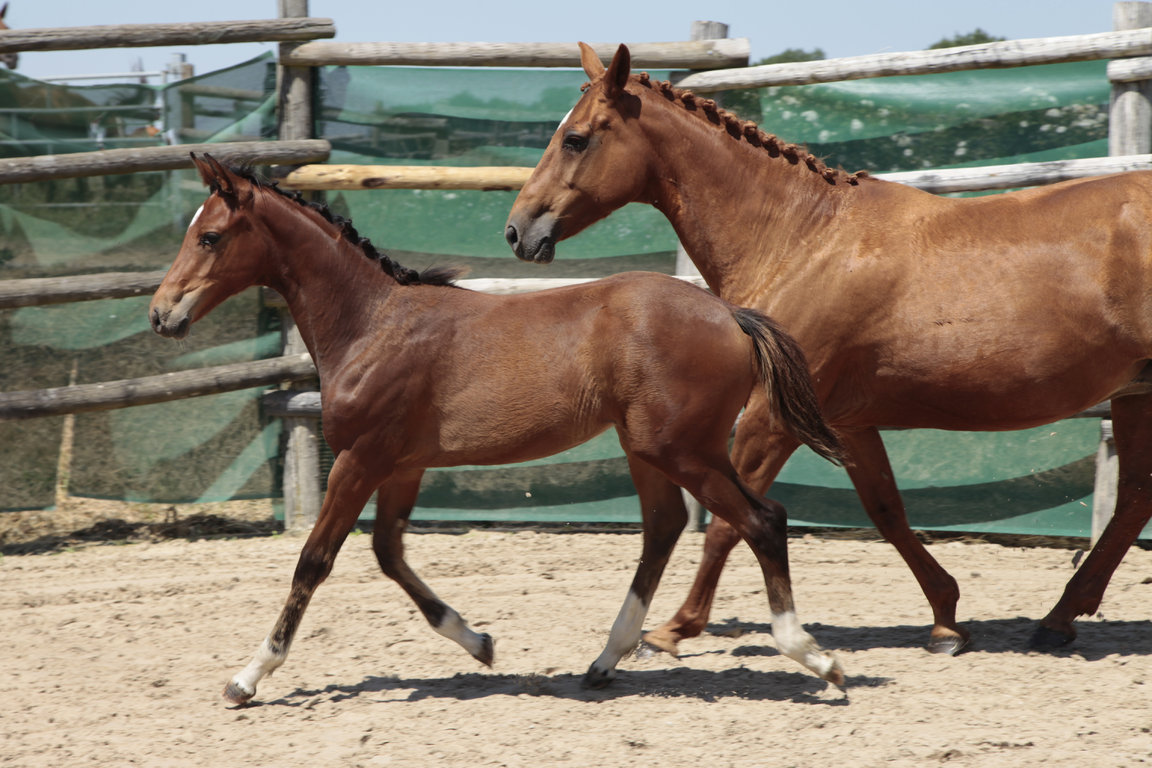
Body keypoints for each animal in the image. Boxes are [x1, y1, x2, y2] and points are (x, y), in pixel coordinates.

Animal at [150, 153, 847, 704]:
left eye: (210, 237)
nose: (161, 315)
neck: (372, 323)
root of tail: (731, 314)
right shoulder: (402, 464)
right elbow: (389, 553)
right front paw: (480, 642)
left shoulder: (359, 457)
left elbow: (314, 561)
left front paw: (247, 678)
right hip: (648, 447)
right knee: (665, 527)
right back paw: (603, 662)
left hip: (683, 449)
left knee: (761, 521)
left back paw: (816, 658)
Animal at [509, 42, 1152, 658]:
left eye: (575, 138)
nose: (518, 231)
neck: (801, 237)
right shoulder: (847, 421)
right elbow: (886, 511)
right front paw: (946, 622)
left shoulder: (771, 419)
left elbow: (730, 521)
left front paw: (671, 630)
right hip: (1135, 394)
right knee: (1133, 502)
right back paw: (1058, 620)